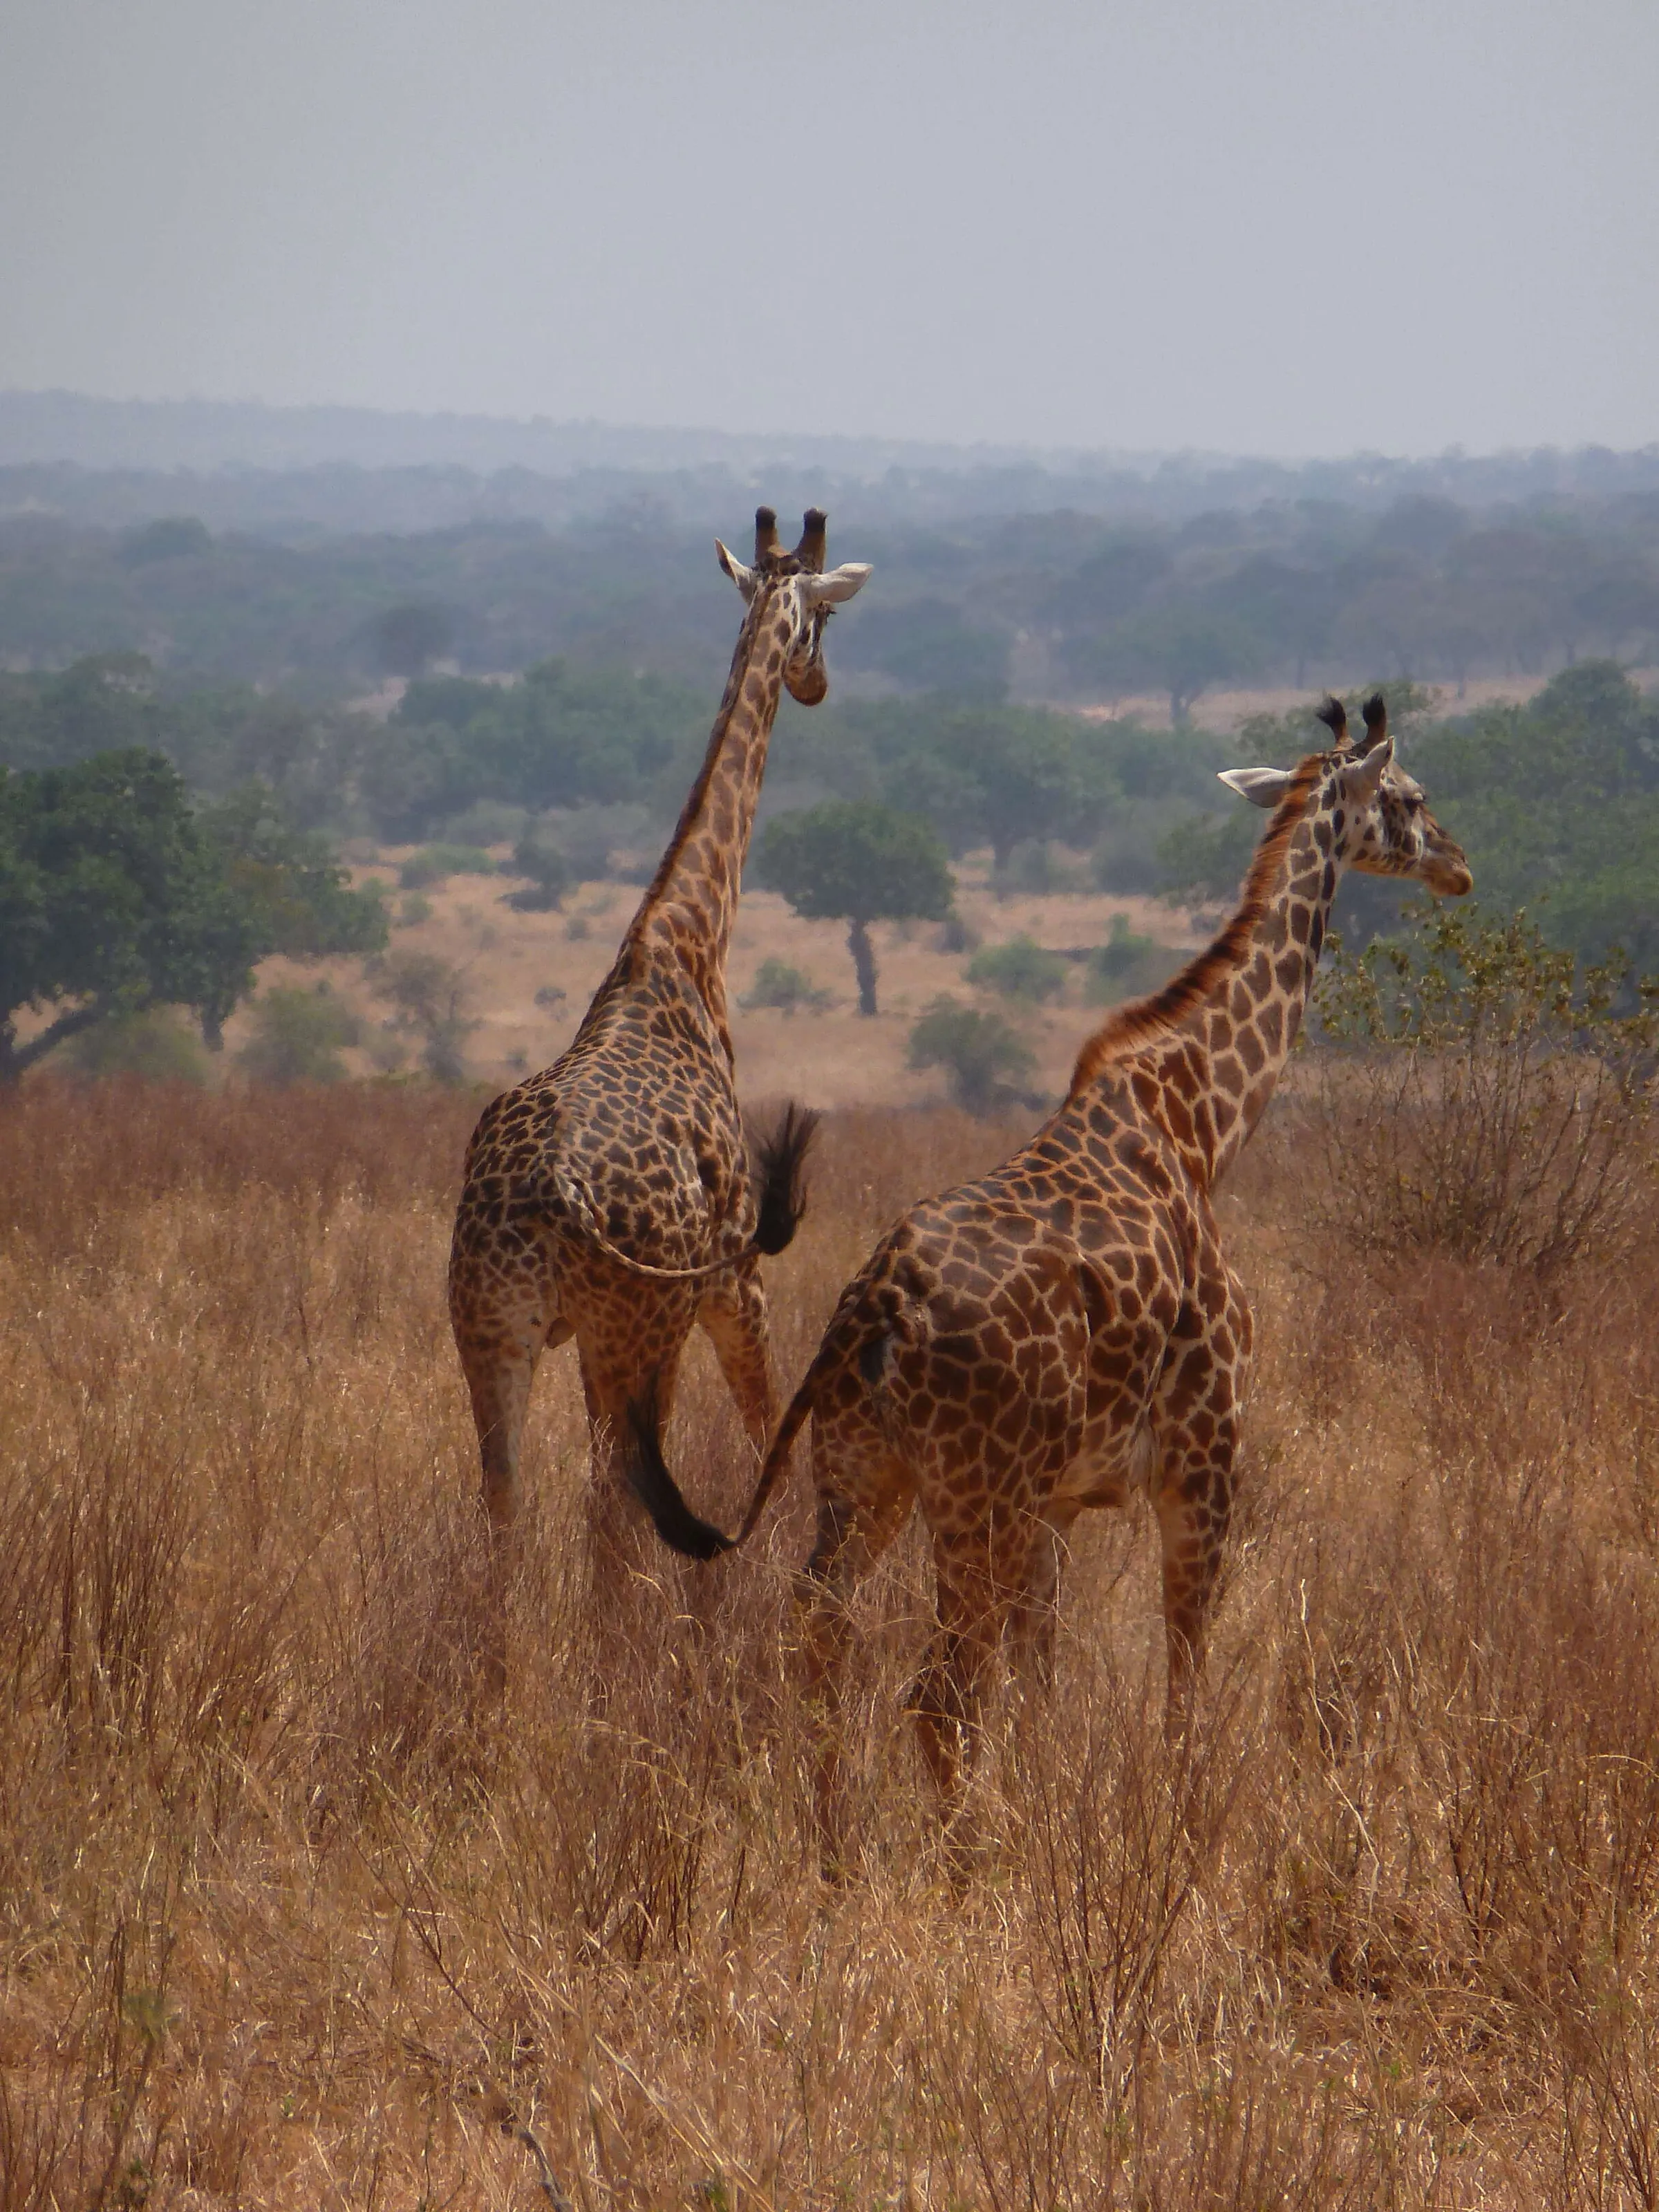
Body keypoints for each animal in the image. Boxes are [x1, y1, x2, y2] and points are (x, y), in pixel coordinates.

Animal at [448, 508, 869, 1616]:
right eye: (826, 622)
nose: (818, 685)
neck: (681, 949)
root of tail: (555, 1195)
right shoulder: (735, 1286)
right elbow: (768, 1438)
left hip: (493, 1330)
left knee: (504, 1507)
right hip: (631, 1332)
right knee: (612, 1503)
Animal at [628, 694, 1471, 1865]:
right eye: (1410, 797)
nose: (1459, 865)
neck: (1205, 1121)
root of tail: (871, 1313)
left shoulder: (1064, 1500)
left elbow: (1045, 1680)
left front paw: (1054, 1810)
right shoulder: (1207, 1457)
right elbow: (1182, 1670)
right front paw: (1172, 1828)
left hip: (867, 1477)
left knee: (821, 1632)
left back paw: (835, 1845)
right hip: (971, 1495)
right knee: (937, 1691)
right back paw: (957, 1862)